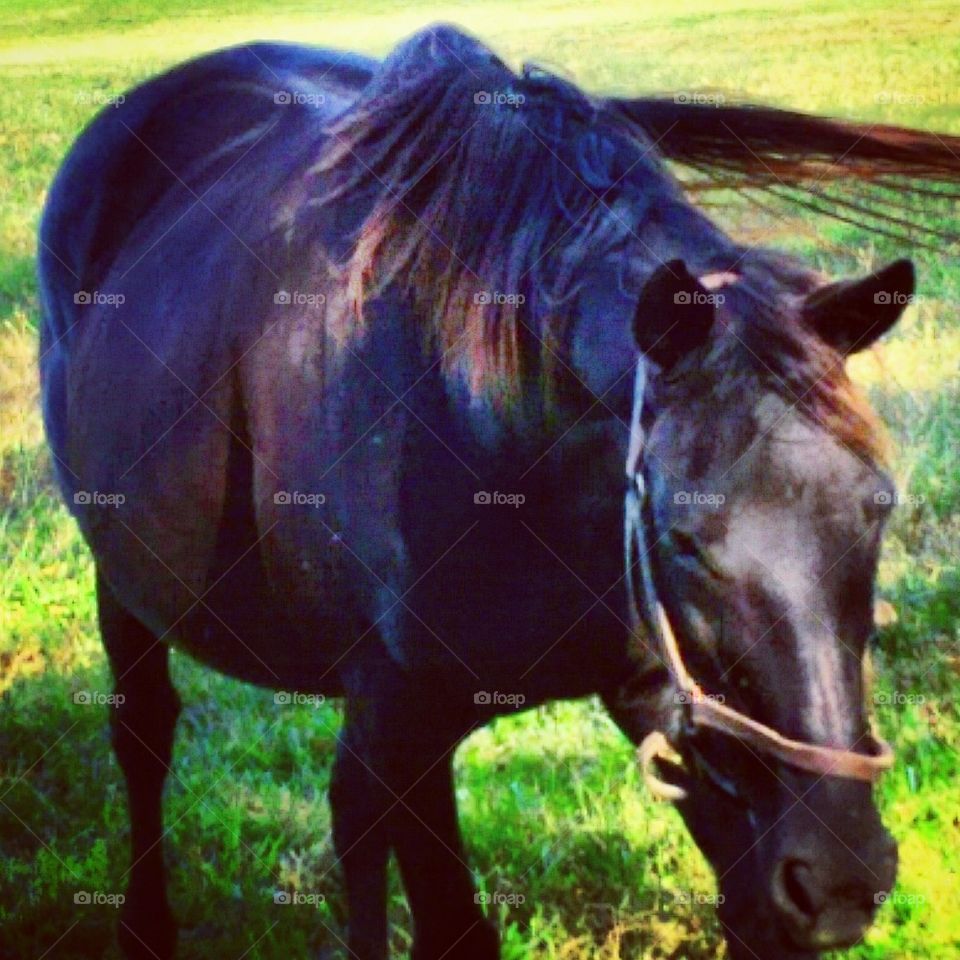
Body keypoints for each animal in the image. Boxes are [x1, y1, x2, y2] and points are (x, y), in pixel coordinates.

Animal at [37, 23, 960, 960]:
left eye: (877, 507)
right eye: (681, 538)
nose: (841, 873)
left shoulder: (671, 709)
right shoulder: (398, 724)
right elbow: (443, 914)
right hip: (124, 581)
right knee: (144, 735)